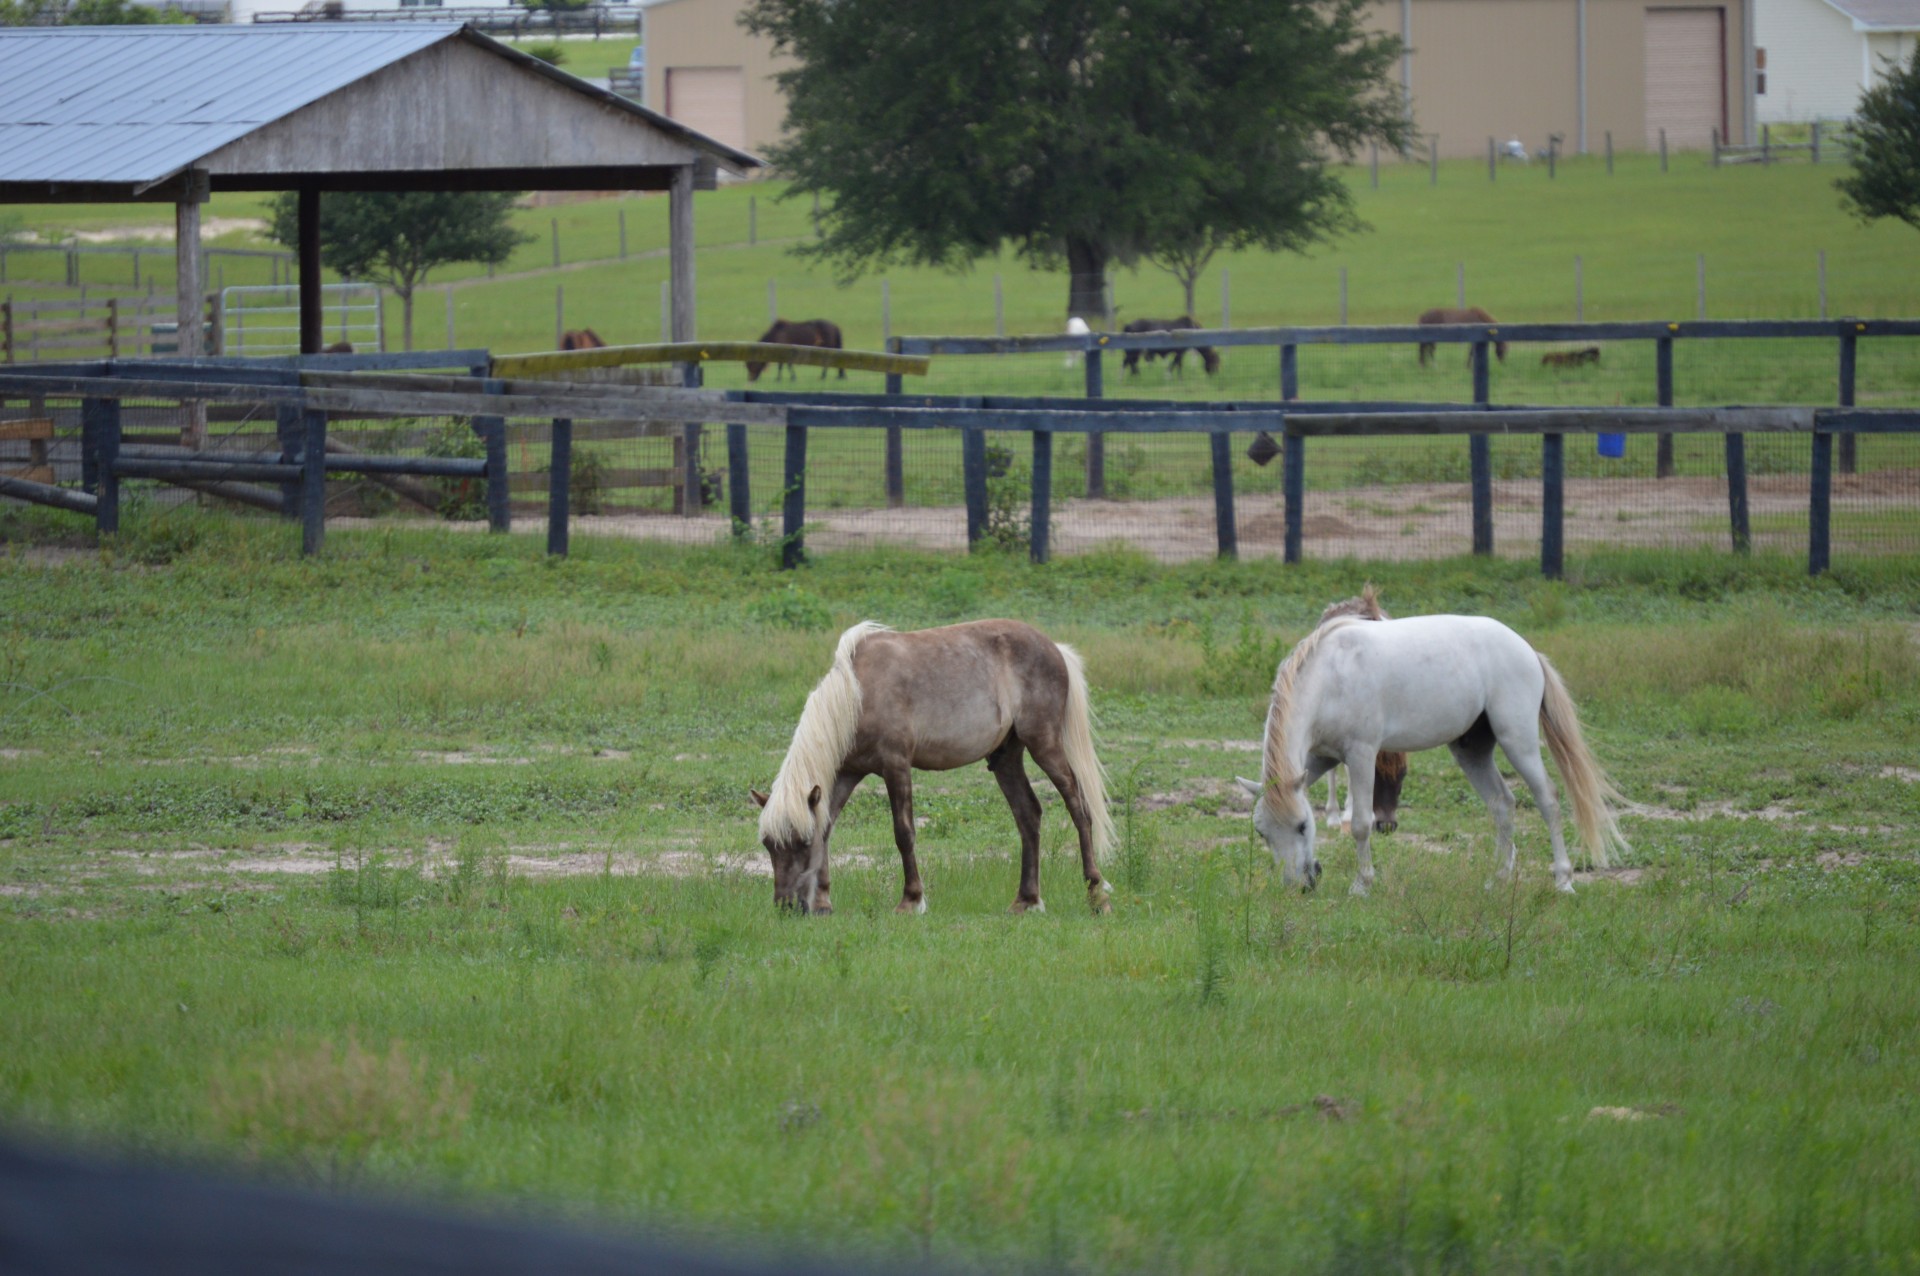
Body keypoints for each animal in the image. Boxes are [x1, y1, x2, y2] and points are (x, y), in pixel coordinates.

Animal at [744, 617, 1113, 909]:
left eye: (802, 843)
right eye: (768, 845)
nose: (786, 907)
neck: (858, 694)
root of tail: (1055, 648)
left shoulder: (896, 766)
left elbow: (904, 833)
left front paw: (911, 900)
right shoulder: (847, 773)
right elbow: (828, 826)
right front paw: (823, 902)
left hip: (1044, 745)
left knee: (1079, 808)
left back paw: (1097, 894)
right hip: (1006, 758)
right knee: (1028, 816)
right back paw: (1027, 900)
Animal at [1236, 614, 1628, 890]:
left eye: (1303, 826)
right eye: (1262, 833)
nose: (1299, 887)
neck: (1332, 675)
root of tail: (1526, 648)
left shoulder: (1361, 755)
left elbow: (1361, 824)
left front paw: (1362, 885)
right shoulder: (1321, 759)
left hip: (1518, 741)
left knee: (1547, 798)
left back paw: (1563, 880)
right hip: (1471, 752)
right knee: (1502, 804)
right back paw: (1499, 878)